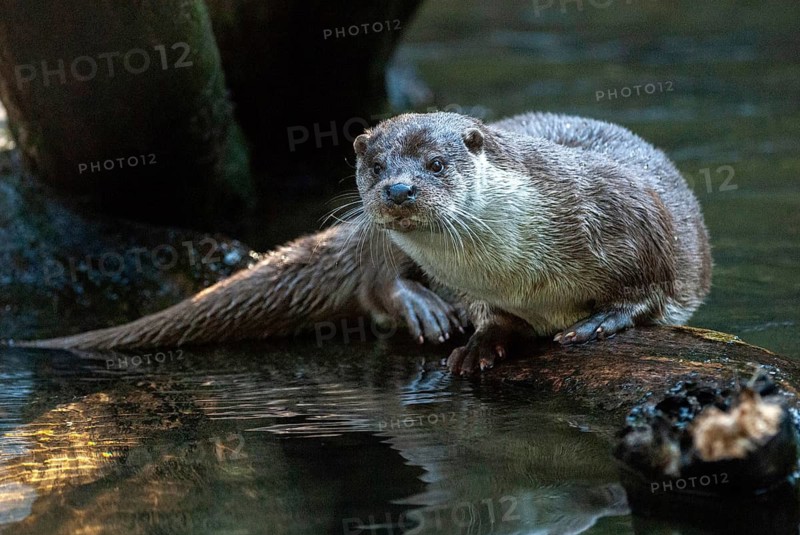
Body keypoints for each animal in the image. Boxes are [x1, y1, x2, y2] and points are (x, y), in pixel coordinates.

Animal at [11, 112, 711, 375]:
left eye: (435, 163)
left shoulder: (631, 215)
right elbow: (489, 316)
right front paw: (482, 341)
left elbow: (652, 288)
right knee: (375, 275)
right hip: (379, 248)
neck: (520, 271)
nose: (398, 188)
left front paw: (605, 321)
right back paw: (424, 308)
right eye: (375, 166)